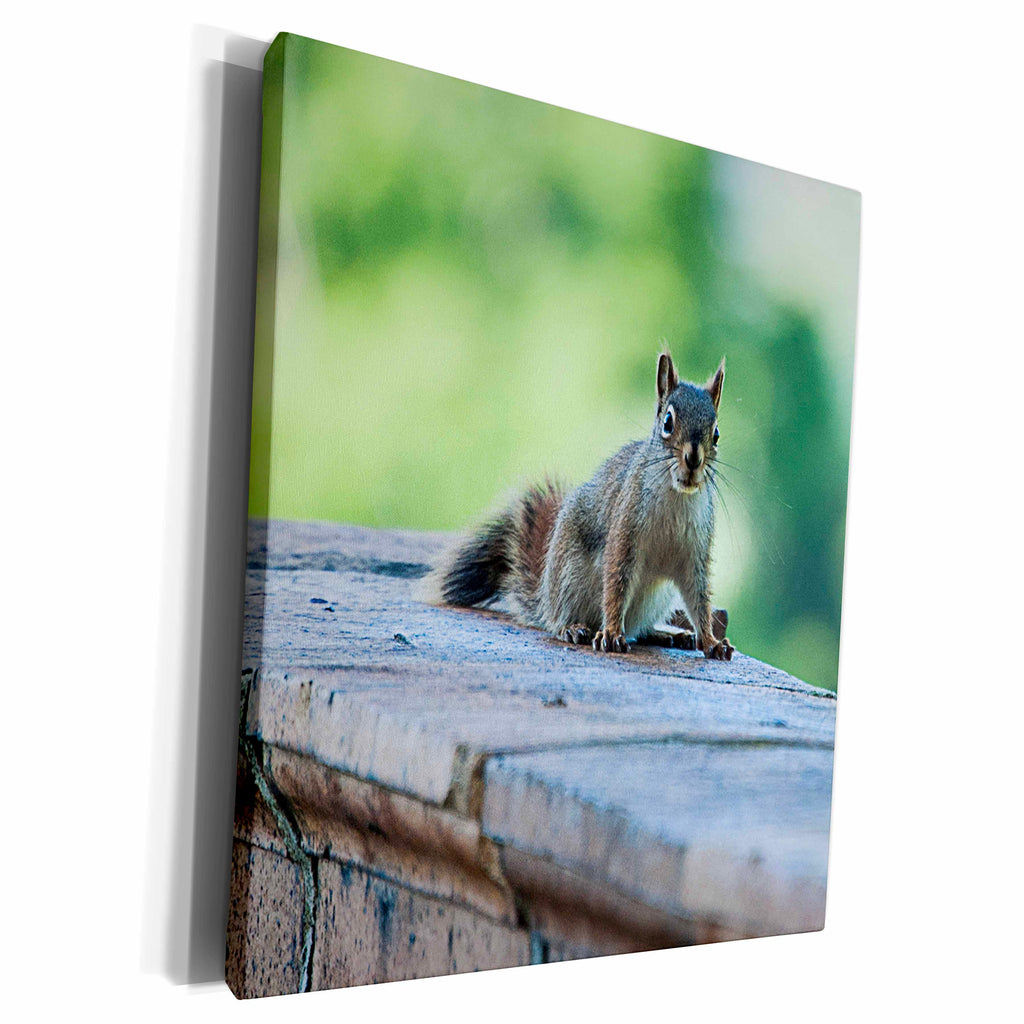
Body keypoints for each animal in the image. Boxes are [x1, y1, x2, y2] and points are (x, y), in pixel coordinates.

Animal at [426, 351, 734, 660]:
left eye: (717, 433)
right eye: (668, 422)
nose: (694, 459)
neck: (676, 495)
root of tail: (545, 600)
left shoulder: (695, 553)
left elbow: (699, 600)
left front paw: (711, 642)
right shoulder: (623, 535)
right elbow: (615, 588)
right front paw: (611, 633)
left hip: (658, 597)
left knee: (639, 629)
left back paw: (665, 633)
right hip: (569, 575)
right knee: (560, 620)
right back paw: (573, 628)